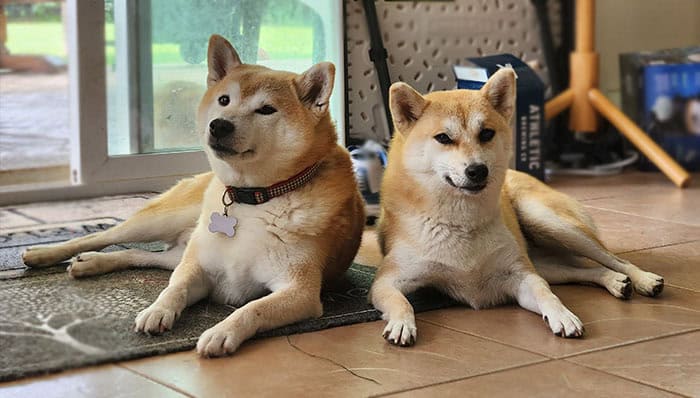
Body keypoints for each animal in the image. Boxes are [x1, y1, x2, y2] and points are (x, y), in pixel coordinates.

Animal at [23, 35, 364, 358]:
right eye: (224, 100)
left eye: (266, 109)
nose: (219, 125)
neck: (254, 197)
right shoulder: (198, 268)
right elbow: (174, 290)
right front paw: (157, 310)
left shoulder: (299, 291)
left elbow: (252, 308)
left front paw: (221, 331)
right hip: (164, 221)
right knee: (105, 237)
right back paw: (46, 253)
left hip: (181, 247)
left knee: (145, 256)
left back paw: (91, 262)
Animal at [370, 70, 664, 346]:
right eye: (443, 138)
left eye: (486, 133)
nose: (477, 170)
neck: (461, 223)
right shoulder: (386, 281)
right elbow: (401, 302)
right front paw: (402, 324)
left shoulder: (522, 275)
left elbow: (547, 294)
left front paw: (563, 315)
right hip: (545, 259)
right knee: (580, 272)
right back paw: (614, 281)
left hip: (550, 224)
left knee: (615, 260)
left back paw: (643, 279)